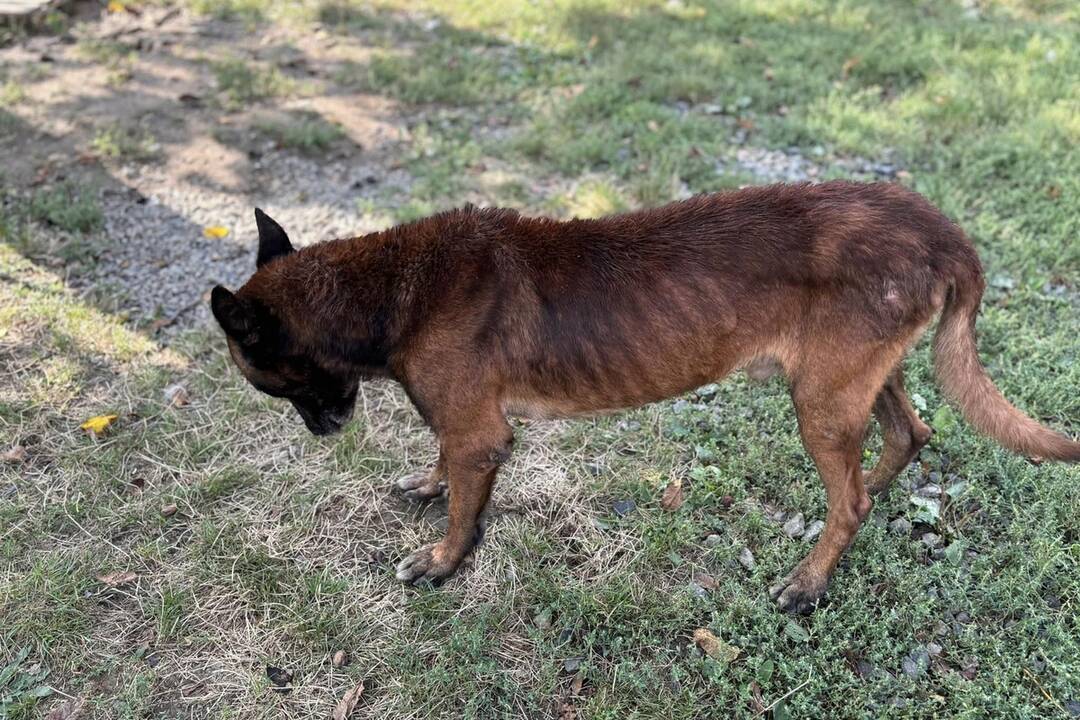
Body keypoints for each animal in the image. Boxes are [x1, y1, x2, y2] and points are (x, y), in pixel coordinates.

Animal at [206, 181, 1075, 613]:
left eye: (263, 379)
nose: (324, 431)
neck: (391, 288)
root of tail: (943, 233)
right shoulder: (459, 423)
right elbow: (442, 459)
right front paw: (426, 483)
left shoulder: (480, 434)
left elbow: (462, 499)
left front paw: (445, 561)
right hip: (851, 379)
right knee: (908, 436)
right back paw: (872, 502)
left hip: (820, 401)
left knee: (853, 495)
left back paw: (812, 579)